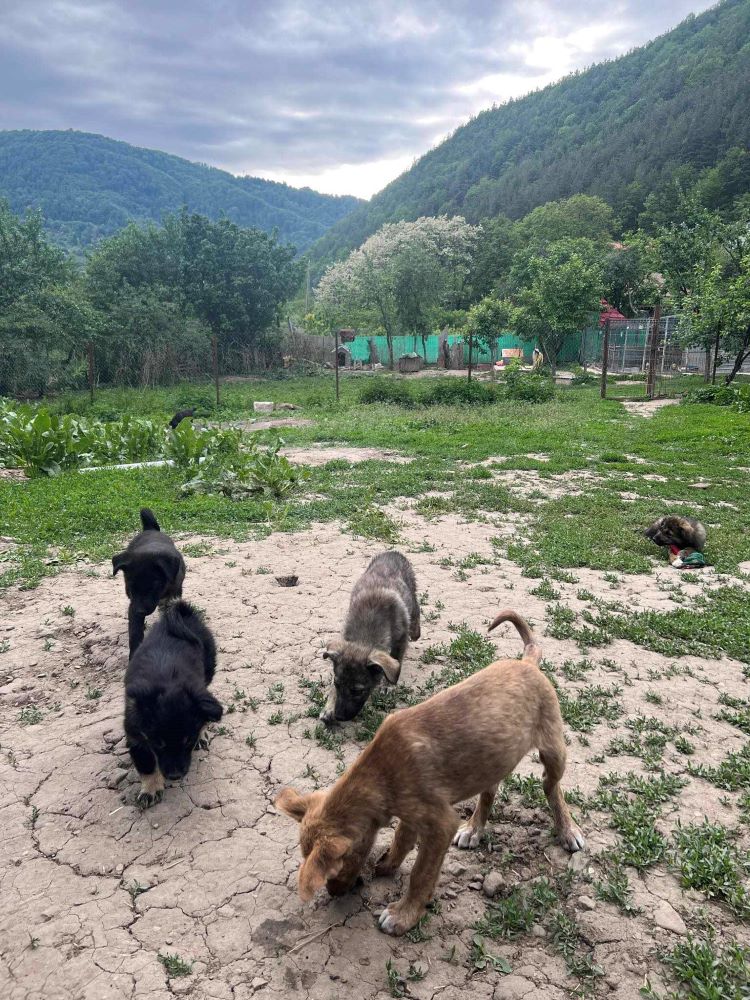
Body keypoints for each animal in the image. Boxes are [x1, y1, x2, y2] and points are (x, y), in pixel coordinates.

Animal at [113, 508, 187, 656]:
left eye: (154, 586)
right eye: (130, 587)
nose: (140, 611)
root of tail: (150, 529)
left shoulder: (174, 593)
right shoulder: (133, 604)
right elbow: (135, 633)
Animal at [123, 600, 222, 804]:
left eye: (187, 741)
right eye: (158, 743)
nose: (175, 776)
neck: (167, 682)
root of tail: (184, 613)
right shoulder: (136, 735)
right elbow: (147, 765)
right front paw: (150, 790)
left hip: (207, 674)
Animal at [278, 608, 588, 936]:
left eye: (331, 872)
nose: (335, 894)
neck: (381, 772)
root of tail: (527, 662)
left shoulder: (439, 824)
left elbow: (421, 873)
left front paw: (404, 914)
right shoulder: (412, 815)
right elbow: (401, 842)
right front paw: (387, 865)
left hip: (553, 750)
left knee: (551, 787)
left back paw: (568, 830)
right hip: (492, 759)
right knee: (490, 791)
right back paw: (474, 828)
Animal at [318, 552, 424, 724]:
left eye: (357, 691)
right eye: (337, 684)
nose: (339, 716)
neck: (365, 635)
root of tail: (393, 552)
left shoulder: (400, 640)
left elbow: (396, 659)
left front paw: (388, 684)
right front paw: (328, 707)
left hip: (411, 598)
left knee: (416, 611)